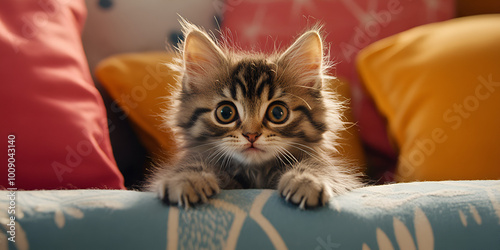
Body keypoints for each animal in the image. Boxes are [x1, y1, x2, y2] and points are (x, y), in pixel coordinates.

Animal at [146, 21, 362, 209]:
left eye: (278, 112)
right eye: (225, 112)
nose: (251, 135)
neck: (254, 173)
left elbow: (318, 166)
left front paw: (306, 180)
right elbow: (190, 165)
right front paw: (186, 179)